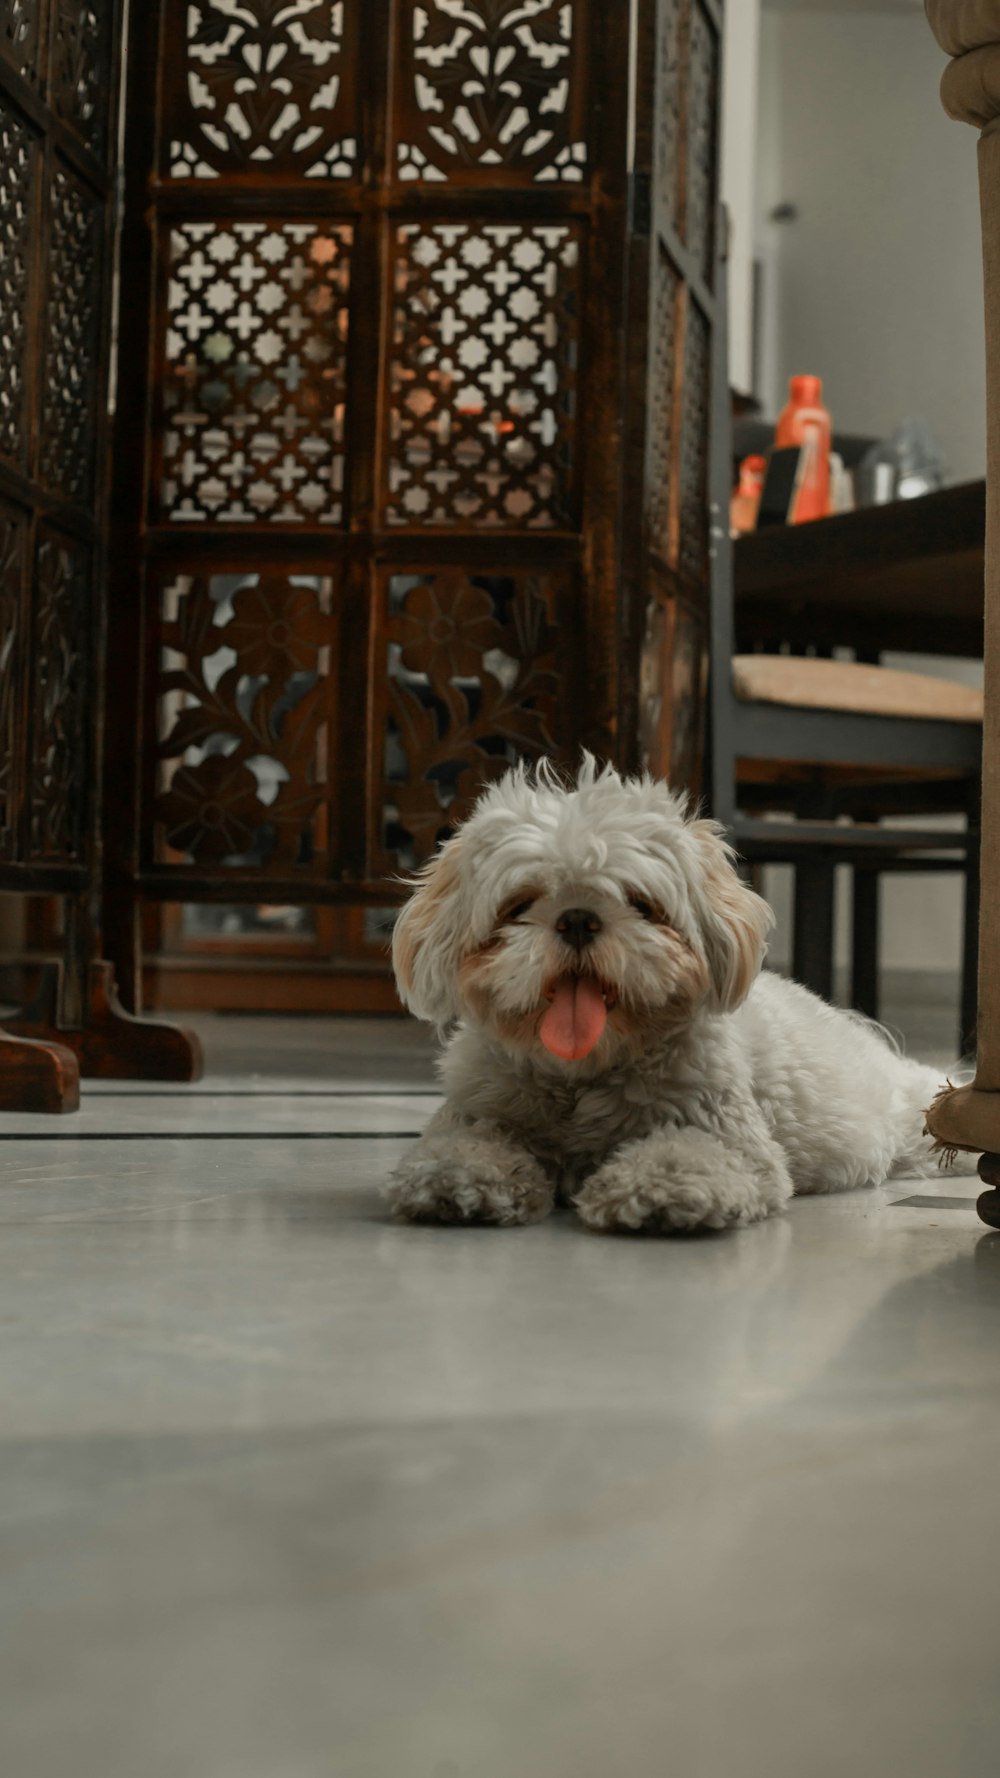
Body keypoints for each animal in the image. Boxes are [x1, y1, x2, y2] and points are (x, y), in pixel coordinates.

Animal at [386, 753, 953, 1237]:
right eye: (519, 905)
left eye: (641, 903)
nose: (577, 919)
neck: (584, 1073)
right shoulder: (475, 1109)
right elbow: (462, 1143)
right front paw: (460, 1177)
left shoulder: (729, 1136)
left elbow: (685, 1152)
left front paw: (658, 1189)